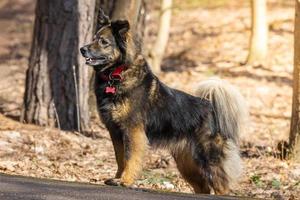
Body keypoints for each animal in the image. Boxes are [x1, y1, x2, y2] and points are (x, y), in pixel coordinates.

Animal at [79, 9, 246, 195]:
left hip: (209, 156)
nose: (82, 49)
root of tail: (210, 107)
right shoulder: (115, 131)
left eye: (103, 42)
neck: (116, 75)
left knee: (221, 185)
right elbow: (120, 158)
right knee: (203, 187)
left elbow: (130, 158)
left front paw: (125, 180)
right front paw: (117, 178)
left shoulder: (132, 130)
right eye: (94, 38)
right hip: (186, 162)